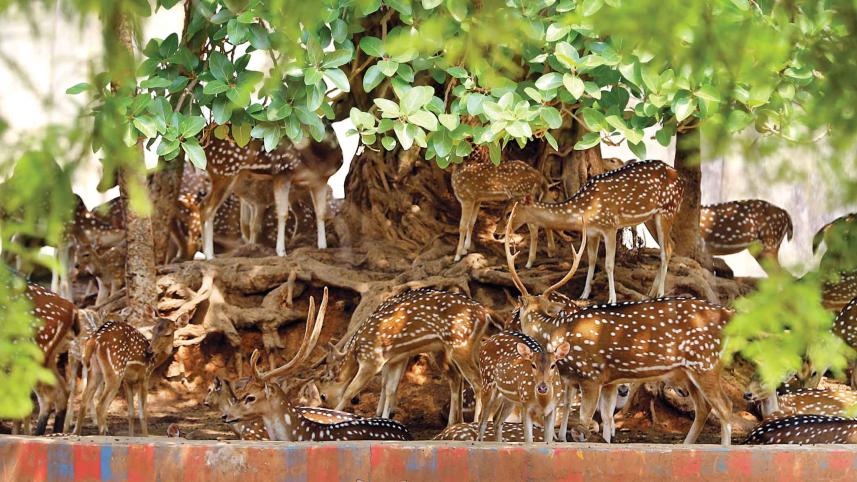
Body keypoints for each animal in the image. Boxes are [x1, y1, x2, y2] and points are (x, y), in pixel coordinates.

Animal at [199, 128, 342, 258]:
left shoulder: (320, 181)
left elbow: (321, 213)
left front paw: (323, 246)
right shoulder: (282, 173)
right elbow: (283, 213)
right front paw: (281, 252)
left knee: (203, 206)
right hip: (224, 171)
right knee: (208, 209)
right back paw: (210, 255)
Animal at [309, 288, 492, 426]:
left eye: (323, 396)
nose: (327, 407)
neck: (357, 351)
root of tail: (485, 313)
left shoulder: (372, 360)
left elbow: (350, 390)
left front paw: (334, 416)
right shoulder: (394, 359)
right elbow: (389, 386)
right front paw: (383, 417)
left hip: (460, 345)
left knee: (476, 382)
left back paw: (475, 422)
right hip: (467, 348)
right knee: (463, 377)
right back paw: (455, 422)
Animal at [502, 213, 734, 445]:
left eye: (517, 310)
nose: (506, 327)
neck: (557, 333)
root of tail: (728, 314)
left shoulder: (591, 376)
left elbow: (585, 422)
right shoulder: (593, 380)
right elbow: (595, 415)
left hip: (705, 363)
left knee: (725, 407)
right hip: (689, 371)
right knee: (704, 408)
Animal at [507, 160, 684, 304]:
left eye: (509, 213)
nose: (502, 231)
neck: (584, 210)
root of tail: (681, 179)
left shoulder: (610, 226)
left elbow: (609, 264)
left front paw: (612, 298)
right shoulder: (592, 232)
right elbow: (591, 260)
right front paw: (584, 294)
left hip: (667, 210)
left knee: (666, 250)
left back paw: (660, 293)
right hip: (651, 217)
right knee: (670, 246)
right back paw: (650, 292)